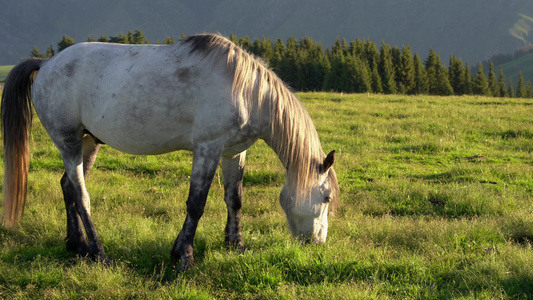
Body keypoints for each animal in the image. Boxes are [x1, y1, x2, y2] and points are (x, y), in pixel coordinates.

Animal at [1, 33, 336, 272]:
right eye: (327, 197)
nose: (318, 242)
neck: (245, 90)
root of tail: (46, 63)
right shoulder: (207, 148)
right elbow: (196, 205)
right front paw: (184, 256)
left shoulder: (232, 153)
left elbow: (235, 199)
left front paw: (235, 243)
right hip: (68, 141)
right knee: (82, 196)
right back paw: (99, 253)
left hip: (88, 142)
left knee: (67, 187)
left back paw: (77, 245)